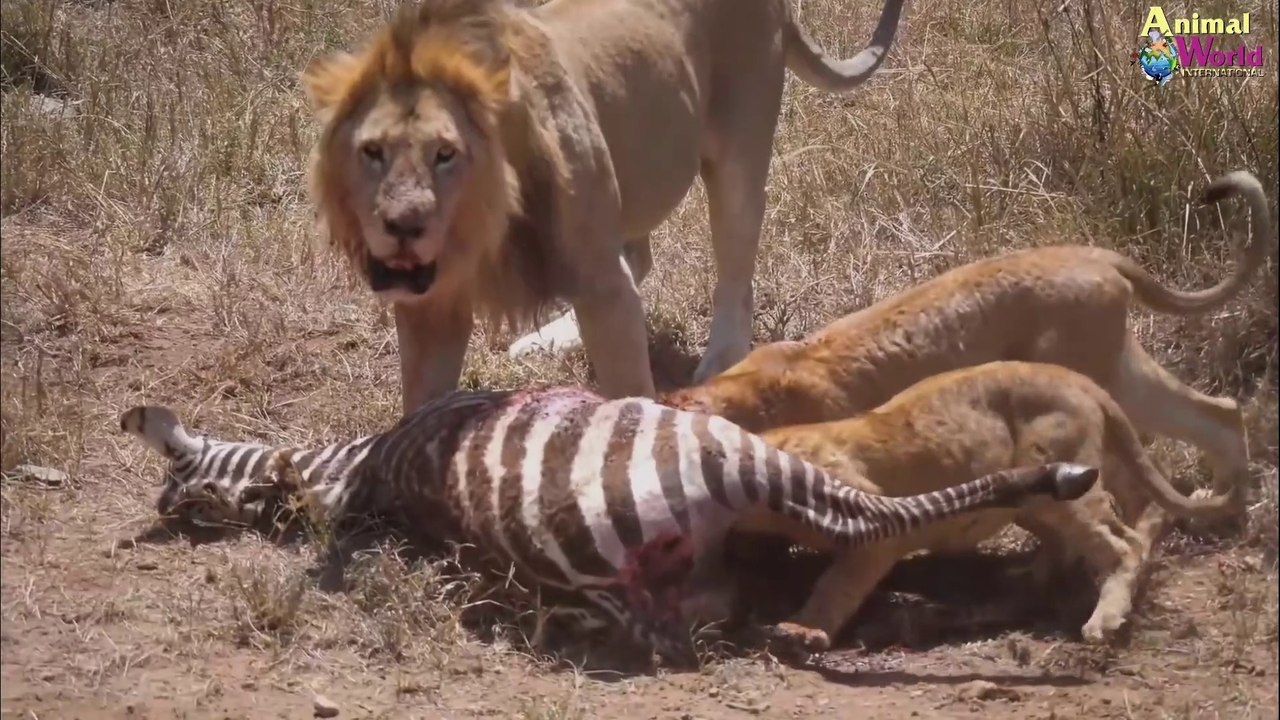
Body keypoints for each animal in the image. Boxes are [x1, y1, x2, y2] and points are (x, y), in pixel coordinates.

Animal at [301, 0, 909, 414]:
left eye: (444, 154)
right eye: (373, 153)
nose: (403, 226)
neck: (483, 226)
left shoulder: (602, 283)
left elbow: (630, 388)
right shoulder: (431, 308)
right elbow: (421, 402)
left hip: (738, 151)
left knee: (733, 274)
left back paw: (719, 362)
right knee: (639, 257)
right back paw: (551, 336)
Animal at [723, 360, 1241, 652]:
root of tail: (1082, 382)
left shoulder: (874, 524)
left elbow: (836, 583)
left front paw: (802, 629)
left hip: (1059, 477)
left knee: (1123, 542)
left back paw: (1103, 620)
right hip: (1040, 497)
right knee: (1094, 533)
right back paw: (1025, 580)